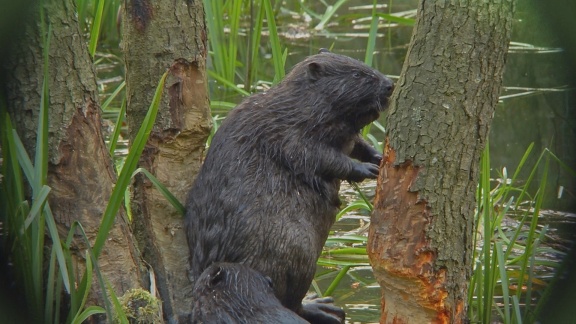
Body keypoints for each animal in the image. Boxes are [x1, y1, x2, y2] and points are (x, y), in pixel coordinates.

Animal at [187, 49, 394, 322]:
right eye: (358, 74)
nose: (390, 85)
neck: (296, 106)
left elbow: (358, 145)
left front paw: (378, 157)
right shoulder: (288, 134)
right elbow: (320, 157)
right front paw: (367, 170)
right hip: (299, 255)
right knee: (293, 302)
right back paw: (324, 307)